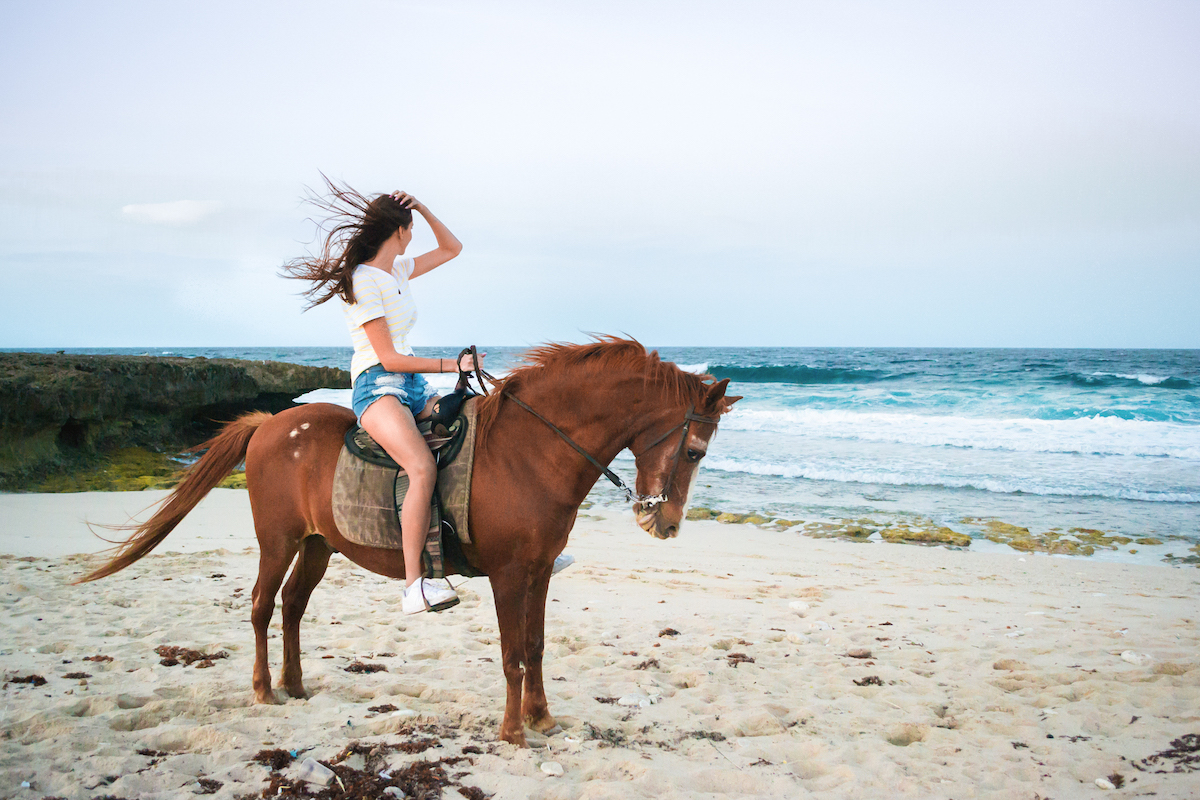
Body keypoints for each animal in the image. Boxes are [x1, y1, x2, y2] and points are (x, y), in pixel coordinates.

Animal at [79, 335, 734, 743]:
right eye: (695, 452)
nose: (664, 524)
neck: (530, 452)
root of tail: (268, 424)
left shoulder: (540, 571)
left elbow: (538, 646)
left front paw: (542, 719)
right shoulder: (507, 575)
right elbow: (513, 654)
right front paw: (513, 731)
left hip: (318, 545)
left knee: (291, 607)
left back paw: (296, 685)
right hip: (279, 540)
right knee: (263, 606)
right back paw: (265, 690)